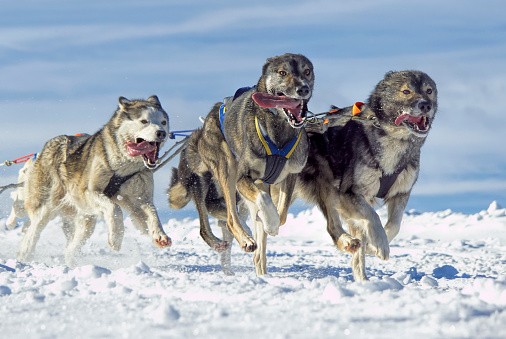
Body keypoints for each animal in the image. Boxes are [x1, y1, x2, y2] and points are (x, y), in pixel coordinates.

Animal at [18, 95, 172, 266]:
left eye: (163, 122)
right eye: (144, 121)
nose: (161, 133)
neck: (124, 167)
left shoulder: (139, 200)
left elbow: (152, 213)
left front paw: (160, 234)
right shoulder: (86, 192)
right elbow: (114, 208)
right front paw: (116, 237)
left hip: (86, 220)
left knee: (72, 246)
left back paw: (72, 262)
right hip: (46, 206)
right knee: (32, 234)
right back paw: (25, 258)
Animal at [168, 53, 314, 276]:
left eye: (307, 71)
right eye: (283, 72)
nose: (303, 89)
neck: (279, 130)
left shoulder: (290, 175)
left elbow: (282, 212)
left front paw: (271, 222)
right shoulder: (242, 178)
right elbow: (264, 201)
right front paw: (270, 222)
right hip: (226, 169)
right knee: (230, 218)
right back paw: (246, 238)